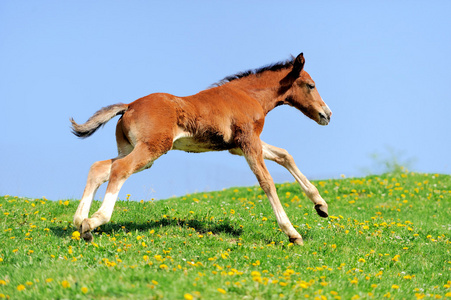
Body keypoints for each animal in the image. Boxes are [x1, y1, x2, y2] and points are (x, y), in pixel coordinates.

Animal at [70, 52, 332, 245]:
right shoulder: (249, 141)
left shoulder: (238, 146)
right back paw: (95, 220)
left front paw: (321, 205)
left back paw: (81, 222)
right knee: (120, 169)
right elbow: (267, 182)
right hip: (152, 149)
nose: (327, 114)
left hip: (131, 149)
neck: (247, 95)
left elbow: (285, 155)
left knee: (100, 168)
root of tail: (129, 105)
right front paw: (292, 233)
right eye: (311, 85)